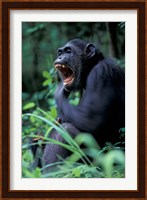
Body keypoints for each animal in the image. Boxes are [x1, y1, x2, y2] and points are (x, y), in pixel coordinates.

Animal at [42, 38, 124, 172]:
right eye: (60, 53)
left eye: (68, 51)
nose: (60, 57)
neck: (89, 70)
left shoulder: (101, 73)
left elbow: (90, 119)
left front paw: (59, 91)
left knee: (67, 129)